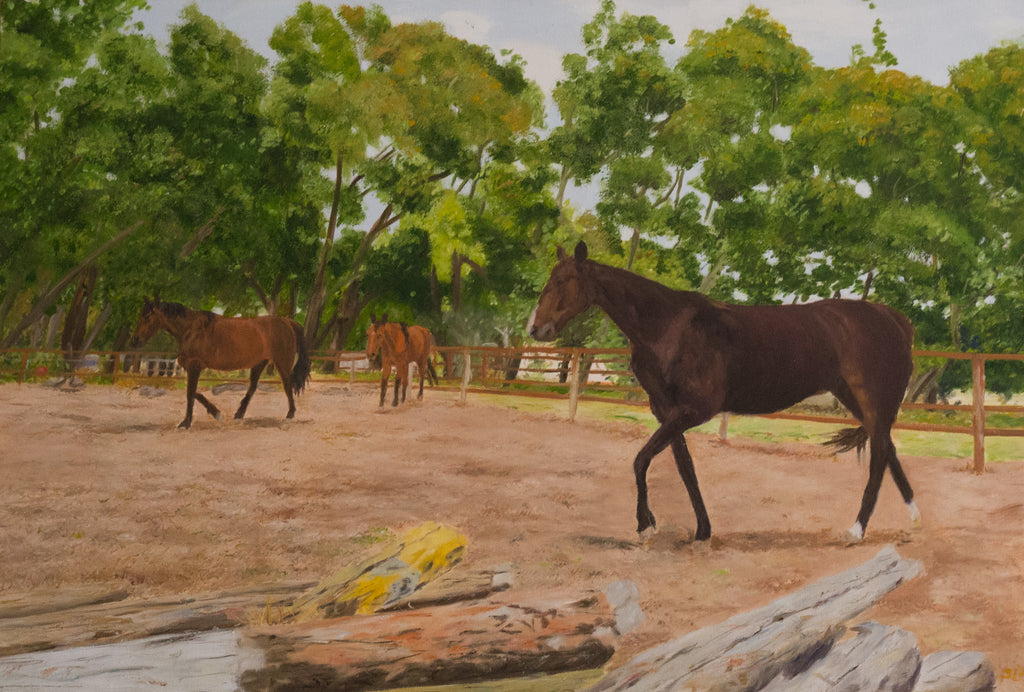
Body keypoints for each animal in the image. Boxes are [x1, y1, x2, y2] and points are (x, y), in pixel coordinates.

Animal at [129, 298, 311, 429]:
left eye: (147, 317)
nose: (134, 341)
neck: (191, 329)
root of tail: (287, 322)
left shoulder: (194, 367)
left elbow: (190, 394)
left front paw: (186, 423)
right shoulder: (192, 368)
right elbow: (194, 392)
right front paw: (216, 413)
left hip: (282, 363)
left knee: (287, 386)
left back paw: (289, 415)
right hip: (260, 363)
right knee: (252, 387)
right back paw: (238, 415)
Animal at [528, 242, 919, 545]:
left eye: (562, 281)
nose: (536, 329)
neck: (671, 328)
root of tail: (892, 318)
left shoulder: (694, 410)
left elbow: (642, 460)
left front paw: (646, 526)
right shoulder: (667, 411)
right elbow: (684, 467)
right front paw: (702, 531)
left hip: (872, 398)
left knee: (879, 455)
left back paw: (856, 530)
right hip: (858, 400)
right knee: (887, 447)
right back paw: (913, 514)